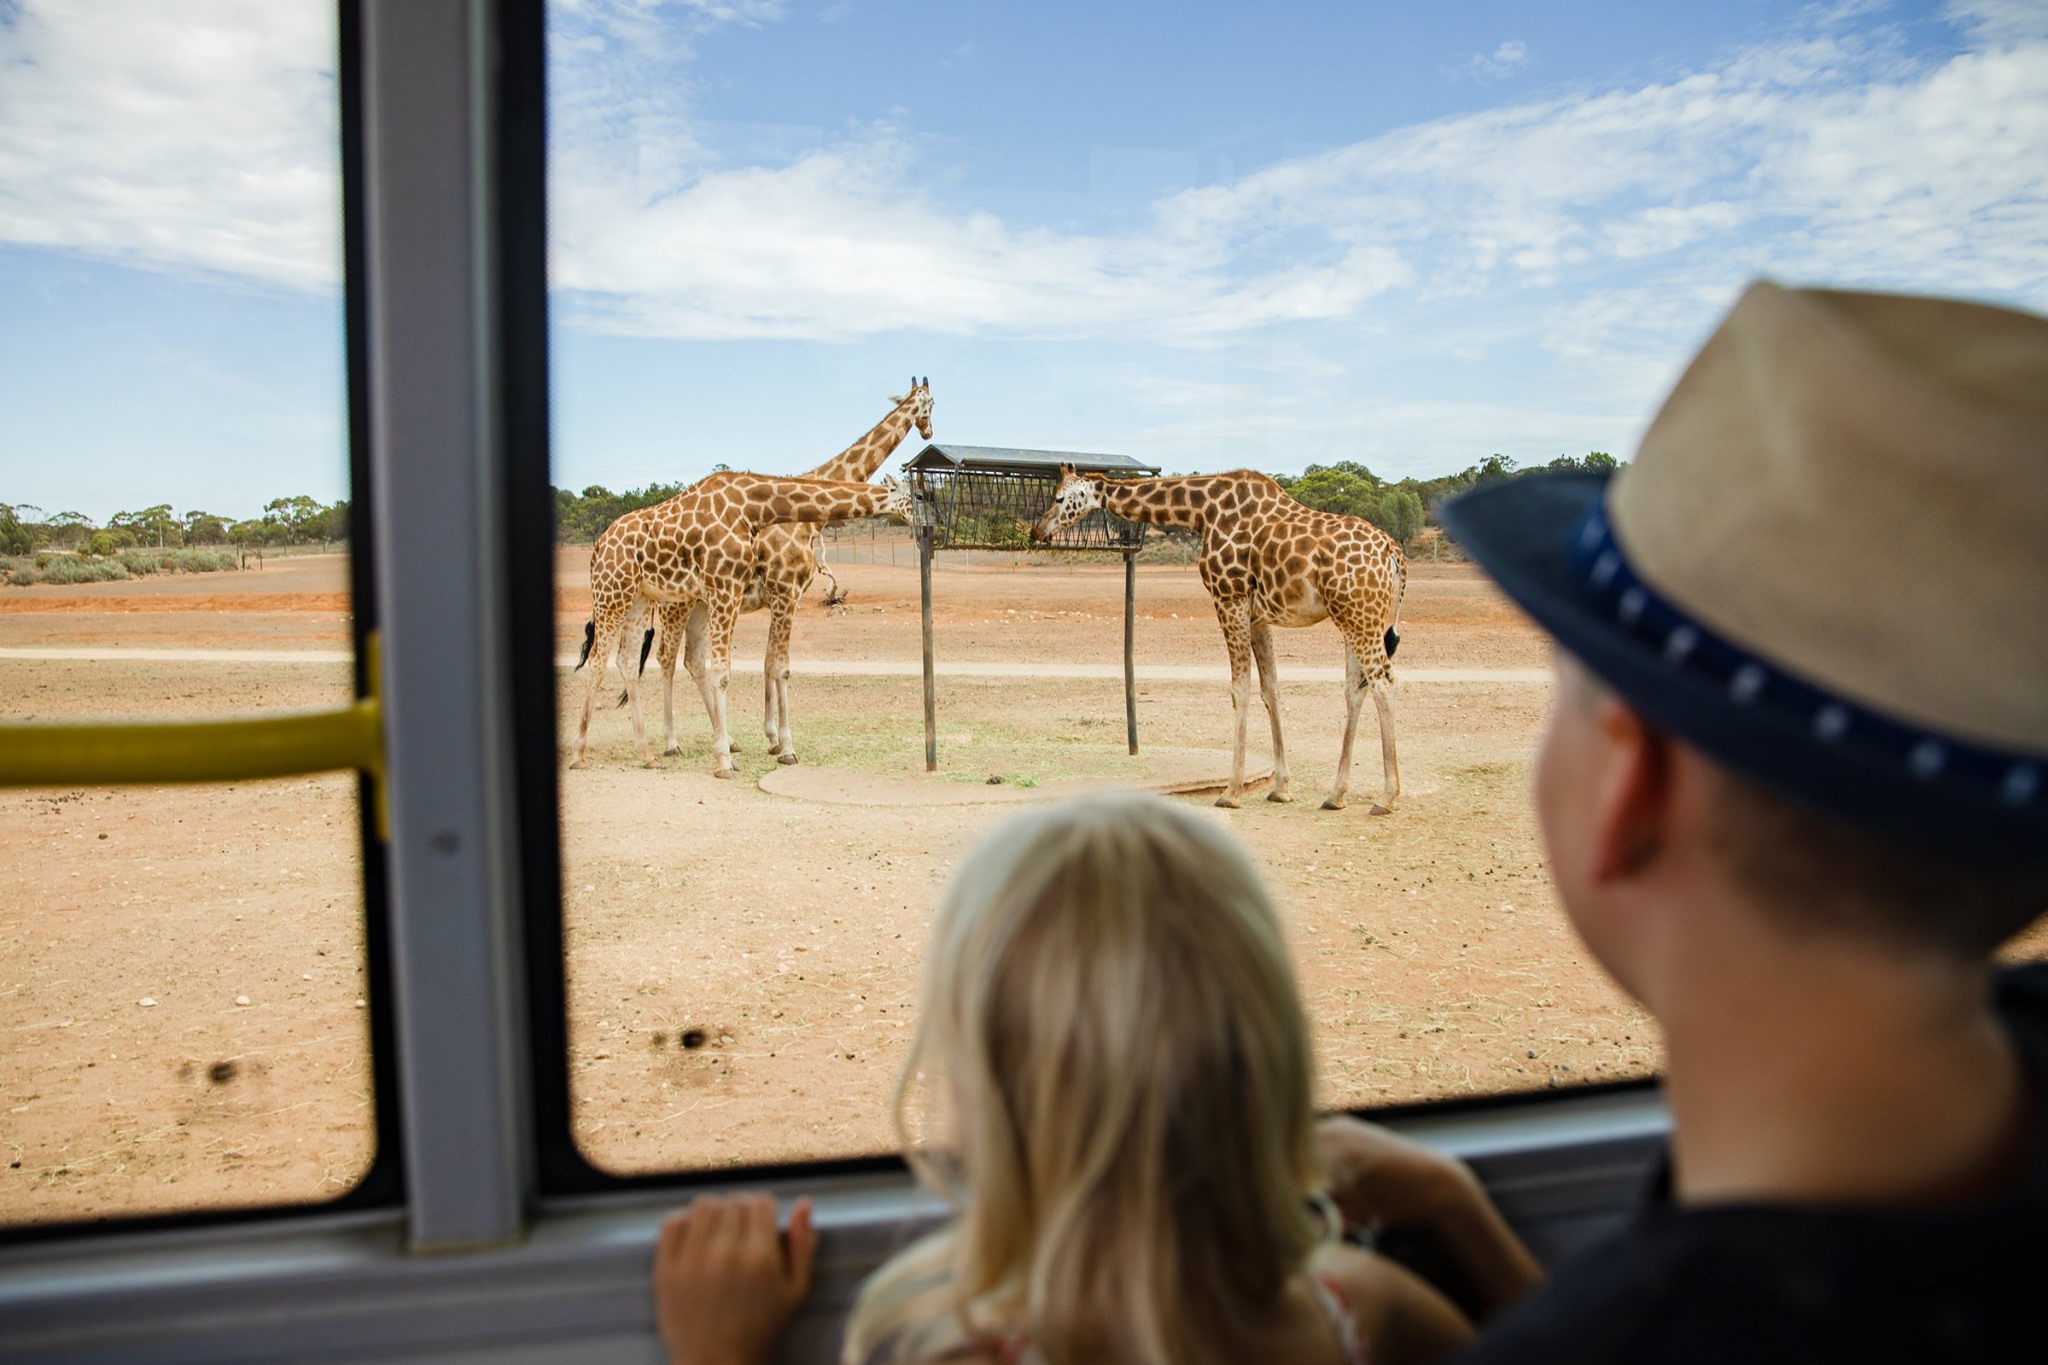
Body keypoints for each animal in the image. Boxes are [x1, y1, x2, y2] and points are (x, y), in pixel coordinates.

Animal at [565, 474, 909, 777]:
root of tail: (598, 546)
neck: (751, 507)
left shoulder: (733, 592)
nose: (918, 522)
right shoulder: (727, 589)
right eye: (914, 496)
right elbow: (723, 672)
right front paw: (725, 761)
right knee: (599, 660)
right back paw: (580, 753)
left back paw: (647, 754)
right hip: (614, 592)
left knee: (626, 659)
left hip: (638, 597)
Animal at [638, 378, 937, 765]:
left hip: (703, 604)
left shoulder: (780, 598)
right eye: (930, 404)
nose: (929, 430)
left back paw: (728, 740)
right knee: (667, 658)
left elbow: (769, 662)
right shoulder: (785, 593)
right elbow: (780, 666)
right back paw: (672, 742)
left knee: (693, 659)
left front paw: (772, 739)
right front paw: (786, 746)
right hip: (677, 604)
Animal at [1040, 470, 1409, 810]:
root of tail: (1393, 552)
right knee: (1356, 690)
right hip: (1355, 618)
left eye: (1059, 497)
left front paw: (1230, 792)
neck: (1202, 511)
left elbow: (1239, 690)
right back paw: (1336, 795)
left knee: (1384, 682)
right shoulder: (1258, 616)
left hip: (1360, 616)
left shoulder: (1228, 599)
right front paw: (1281, 789)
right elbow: (1271, 690)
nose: (1038, 530)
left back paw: (1387, 797)